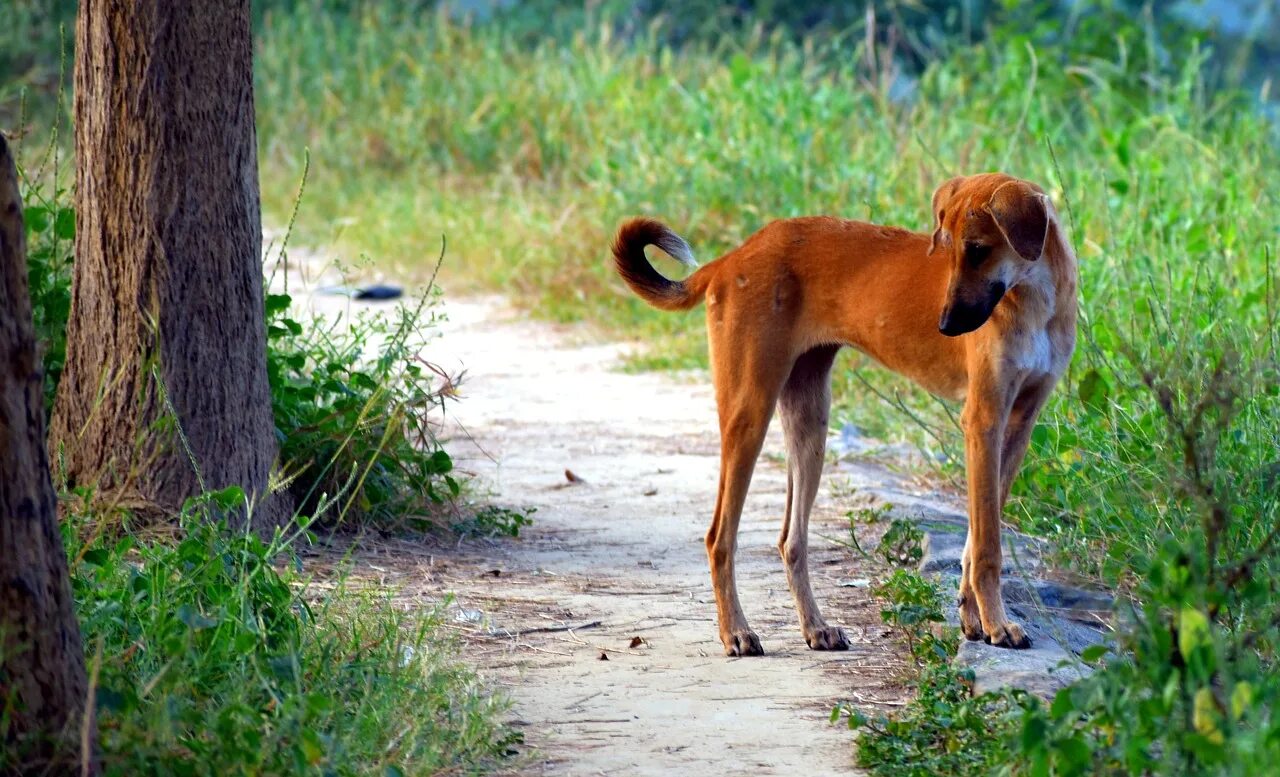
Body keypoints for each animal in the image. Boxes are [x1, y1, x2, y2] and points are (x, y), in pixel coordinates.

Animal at [614, 172, 1075, 652]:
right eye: (946, 251)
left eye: (979, 249)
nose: (945, 326)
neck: (1034, 298)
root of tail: (730, 258)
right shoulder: (983, 421)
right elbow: (986, 546)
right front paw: (997, 623)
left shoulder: (1018, 425)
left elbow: (976, 538)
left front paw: (973, 618)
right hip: (749, 413)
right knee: (719, 538)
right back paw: (736, 632)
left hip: (810, 424)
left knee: (791, 540)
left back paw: (815, 627)